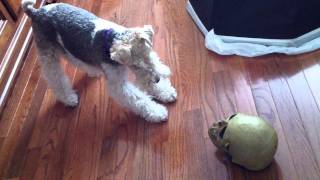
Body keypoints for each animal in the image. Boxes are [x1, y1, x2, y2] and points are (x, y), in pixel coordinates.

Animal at [21, 0, 178, 122]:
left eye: (148, 54)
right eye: (134, 65)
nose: (157, 80)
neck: (113, 38)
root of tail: (35, 12)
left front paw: (165, 91)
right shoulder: (118, 85)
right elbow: (139, 99)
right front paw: (158, 112)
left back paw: (93, 71)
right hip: (49, 57)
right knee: (56, 78)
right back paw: (69, 98)